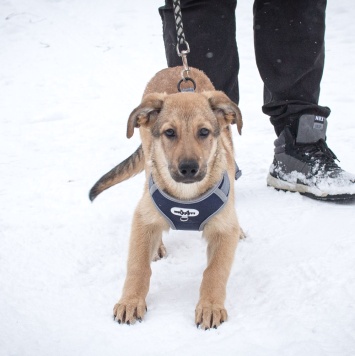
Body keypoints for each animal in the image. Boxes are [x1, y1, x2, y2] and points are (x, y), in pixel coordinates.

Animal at [89, 66, 245, 328]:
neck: (186, 197)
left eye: (204, 132)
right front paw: (131, 301)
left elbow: (215, 271)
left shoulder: (223, 231)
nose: (189, 168)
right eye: (170, 133)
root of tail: (177, 68)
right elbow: (137, 266)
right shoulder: (142, 219)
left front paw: (210, 306)